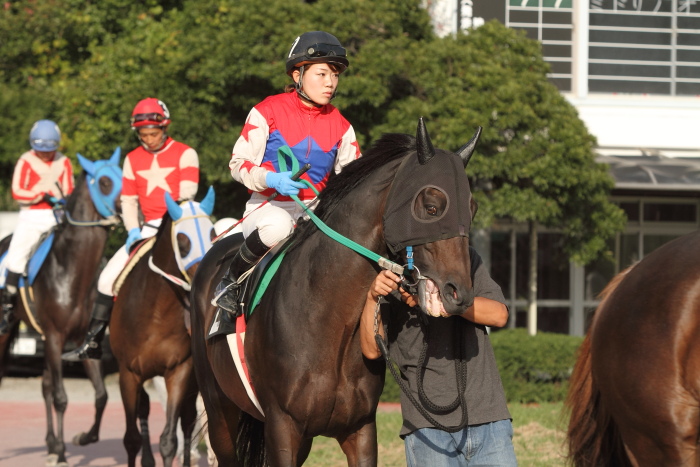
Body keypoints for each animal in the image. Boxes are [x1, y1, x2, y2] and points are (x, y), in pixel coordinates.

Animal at [0, 148, 121, 466]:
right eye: (104, 181)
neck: (71, 270)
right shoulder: (55, 338)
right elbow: (61, 398)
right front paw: (64, 455)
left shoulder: (82, 341)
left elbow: (101, 395)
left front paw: (81, 438)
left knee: (44, 386)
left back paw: (52, 442)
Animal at [106, 188, 215, 467]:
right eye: (183, 242)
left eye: (212, 234)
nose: (206, 277)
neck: (155, 313)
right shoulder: (128, 374)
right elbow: (131, 439)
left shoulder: (179, 371)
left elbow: (169, 440)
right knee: (144, 410)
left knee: (187, 422)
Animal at [189, 119, 478, 466]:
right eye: (432, 206)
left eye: (473, 208)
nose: (459, 294)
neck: (327, 321)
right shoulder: (282, 426)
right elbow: (241, 160)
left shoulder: (359, 428)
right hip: (219, 411)